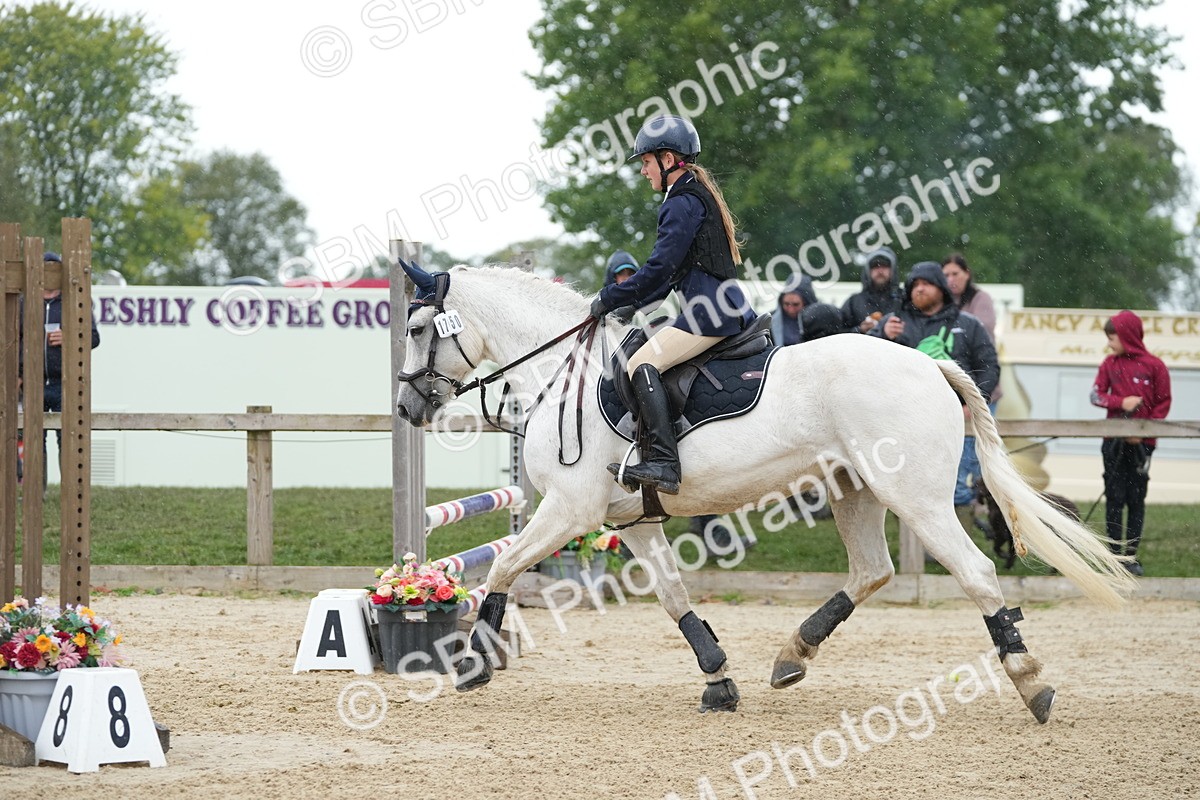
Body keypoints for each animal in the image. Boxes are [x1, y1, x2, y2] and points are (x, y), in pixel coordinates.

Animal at [395, 263, 1134, 722]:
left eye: (416, 329)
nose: (406, 407)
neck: (563, 372)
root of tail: (929, 363)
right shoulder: (631, 519)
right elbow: (673, 596)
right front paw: (719, 678)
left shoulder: (571, 510)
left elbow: (505, 566)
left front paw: (473, 661)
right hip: (855, 488)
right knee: (873, 570)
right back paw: (791, 654)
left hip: (917, 498)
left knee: (975, 571)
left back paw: (1031, 680)